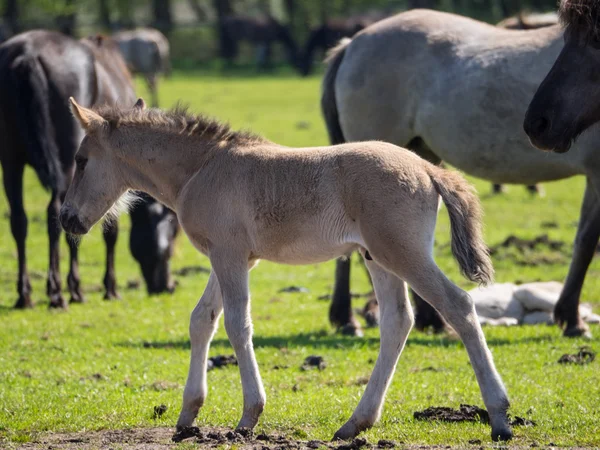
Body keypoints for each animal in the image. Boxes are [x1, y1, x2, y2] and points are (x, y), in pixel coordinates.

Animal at [0, 29, 176, 308]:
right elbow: (109, 229)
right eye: (172, 233)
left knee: (20, 221)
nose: (167, 287)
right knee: (54, 214)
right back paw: (60, 291)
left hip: (11, 160)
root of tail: (27, 56)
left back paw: (25, 294)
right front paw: (107, 287)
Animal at [59, 98, 510, 440]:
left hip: (402, 253)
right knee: (398, 321)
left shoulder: (229, 255)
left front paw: (248, 416)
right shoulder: (232, 256)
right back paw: (355, 423)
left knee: (458, 306)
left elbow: (236, 324)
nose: (66, 218)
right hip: (376, 257)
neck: (201, 168)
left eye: (81, 160)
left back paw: (500, 417)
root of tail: (429, 169)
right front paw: (187, 417)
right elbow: (201, 320)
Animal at [324, 8, 600, 338]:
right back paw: (356, 318)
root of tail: (352, 44)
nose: (539, 123)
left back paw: (422, 317)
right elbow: (586, 242)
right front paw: (571, 318)